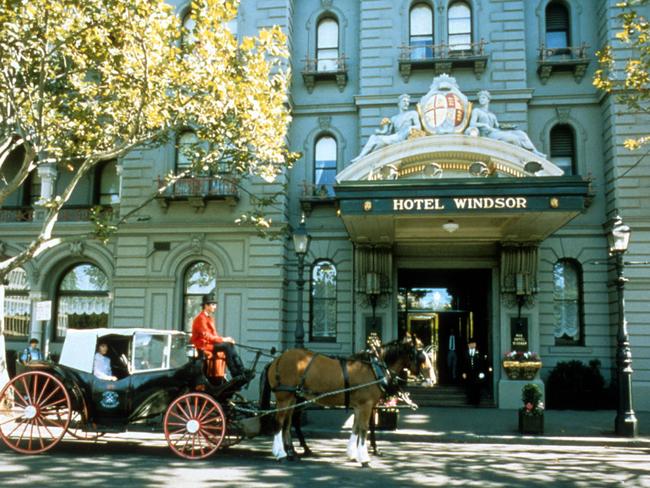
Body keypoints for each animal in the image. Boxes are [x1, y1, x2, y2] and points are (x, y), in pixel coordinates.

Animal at [260, 336, 432, 466]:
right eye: (421, 356)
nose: (431, 379)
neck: (373, 367)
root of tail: (277, 359)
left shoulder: (359, 406)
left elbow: (355, 428)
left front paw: (352, 454)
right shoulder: (366, 405)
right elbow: (363, 429)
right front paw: (365, 459)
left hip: (293, 398)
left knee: (287, 424)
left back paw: (291, 452)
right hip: (284, 397)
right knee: (279, 422)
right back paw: (280, 453)